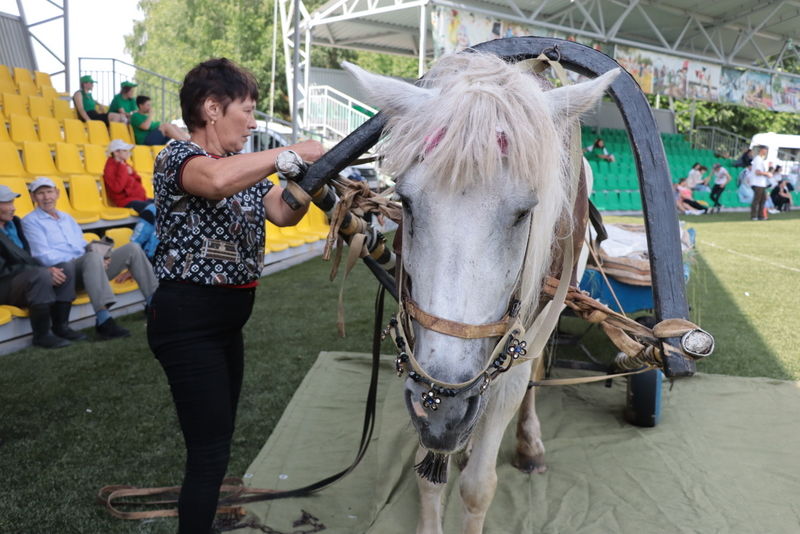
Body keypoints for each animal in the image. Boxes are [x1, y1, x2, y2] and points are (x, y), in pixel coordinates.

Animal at [344, 52, 620, 532]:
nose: (445, 409)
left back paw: (528, 443)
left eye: (525, 212)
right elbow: (429, 476)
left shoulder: (521, 342)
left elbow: (478, 487)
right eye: (406, 201)